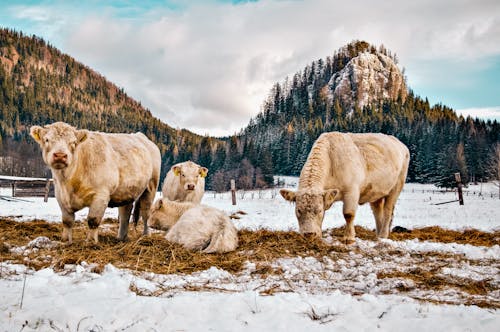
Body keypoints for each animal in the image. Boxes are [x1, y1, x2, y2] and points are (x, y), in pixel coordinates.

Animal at [29, 120, 161, 243]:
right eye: (47, 139)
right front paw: (66, 240)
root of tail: (141, 136)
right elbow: (67, 221)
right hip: (126, 191)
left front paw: (91, 242)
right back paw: (121, 237)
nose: (60, 155)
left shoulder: (101, 195)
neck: (69, 182)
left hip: (151, 187)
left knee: (146, 212)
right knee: (125, 213)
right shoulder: (61, 196)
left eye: (73, 142)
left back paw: (146, 236)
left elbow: (93, 220)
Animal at [280, 131, 408, 243]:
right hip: (376, 192)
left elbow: (348, 214)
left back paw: (383, 235)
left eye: (319, 210)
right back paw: (378, 234)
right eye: (298, 210)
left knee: (388, 211)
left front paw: (349, 237)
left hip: (397, 186)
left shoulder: (352, 191)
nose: (309, 234)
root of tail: (400, 144)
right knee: (377, 212)